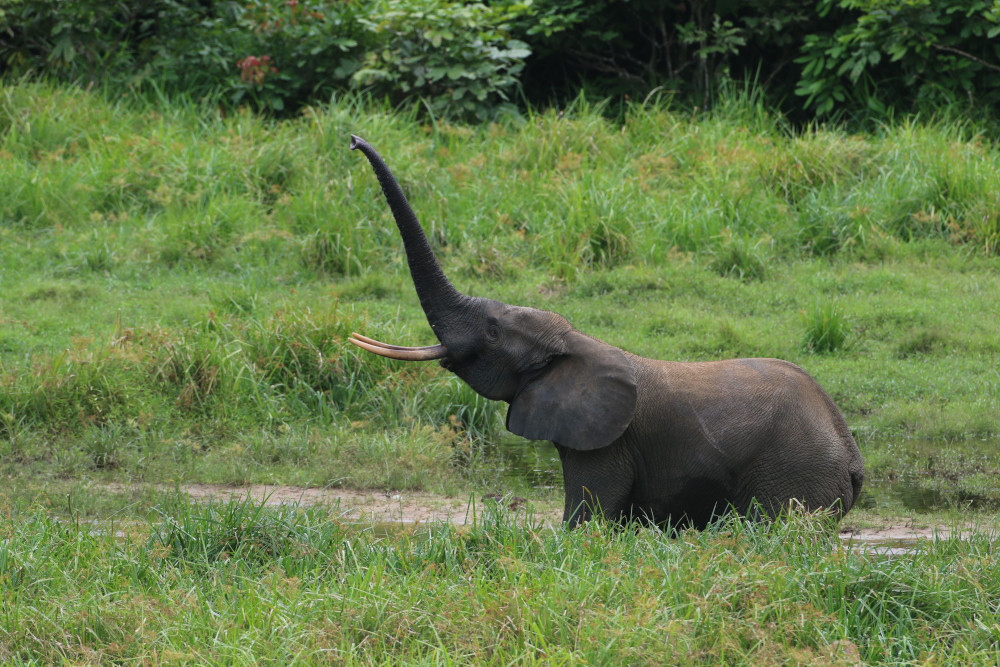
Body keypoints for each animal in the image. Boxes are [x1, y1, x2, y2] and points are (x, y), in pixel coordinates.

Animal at [348, 136, 864, 528]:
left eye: (493, 331)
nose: (352, 141)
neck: (574, 343)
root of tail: (852, 454)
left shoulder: (608, 443)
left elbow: (586, 517)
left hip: (795, 473)